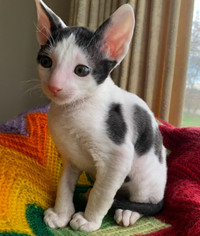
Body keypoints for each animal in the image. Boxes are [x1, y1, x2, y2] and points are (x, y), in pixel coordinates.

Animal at [34, 0, 167, 232]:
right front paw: (61, 214)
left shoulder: (118, 158)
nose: (54, 86)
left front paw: (88, 220)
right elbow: (64, 184)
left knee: (145, 200)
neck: (73, 110)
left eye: (82, 70)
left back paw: (128, 211)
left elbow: (102, 193)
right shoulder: (70, 157)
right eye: (46, 62)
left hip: (146, 177)